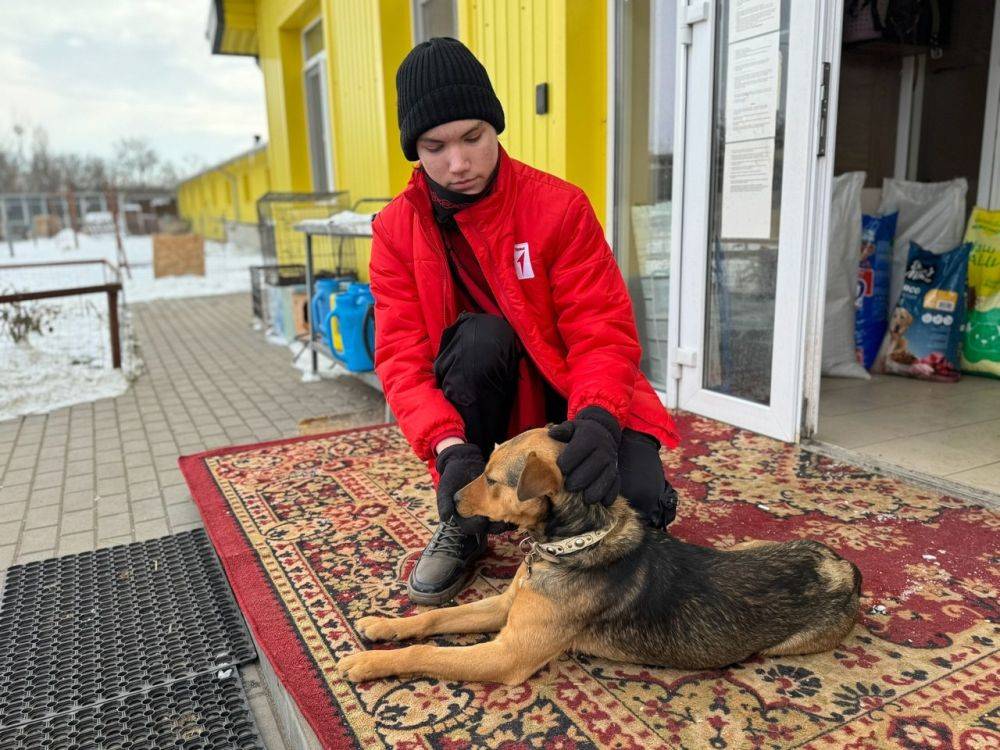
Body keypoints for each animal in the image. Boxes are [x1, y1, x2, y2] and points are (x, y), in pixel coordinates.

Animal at [336, 428, 860, 688]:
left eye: (493, 480)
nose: (450, 503)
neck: (569, 545)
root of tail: (846, 569)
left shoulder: (508, 654)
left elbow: (428, 652)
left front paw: (366, 664)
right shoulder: (506, 608)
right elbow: (433, 620)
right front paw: (383, 625)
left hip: (785, 645)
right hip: (745, 546)